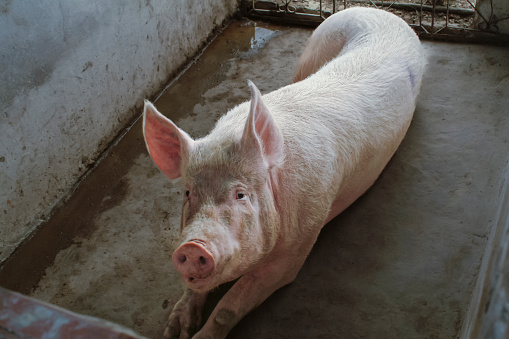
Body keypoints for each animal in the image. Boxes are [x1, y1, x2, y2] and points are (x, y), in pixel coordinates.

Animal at [142, 5, 424, 339]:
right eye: (187, 193)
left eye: (241, 194)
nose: (192, 245)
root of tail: (377, 10)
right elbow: (194, 291)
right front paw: (174, 330)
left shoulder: (299, 245)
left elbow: (229, 305)